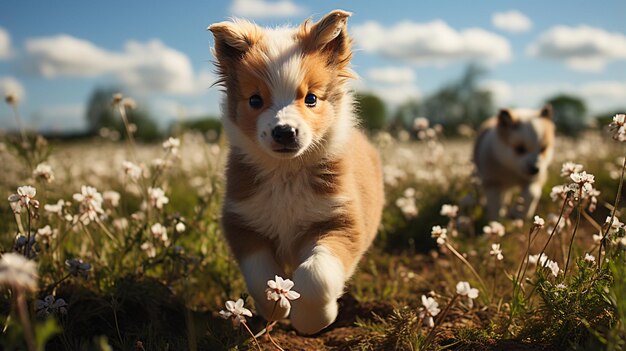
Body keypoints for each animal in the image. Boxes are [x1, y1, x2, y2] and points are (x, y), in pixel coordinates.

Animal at [210, 10, 382, 336]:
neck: (286, 174)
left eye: (311, 98)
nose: (284, 132)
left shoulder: (342, 221)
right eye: (255, 100)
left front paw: (312, 321)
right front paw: (276, 307)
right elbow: (261, 276)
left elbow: (316, 277)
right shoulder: (243, 222)